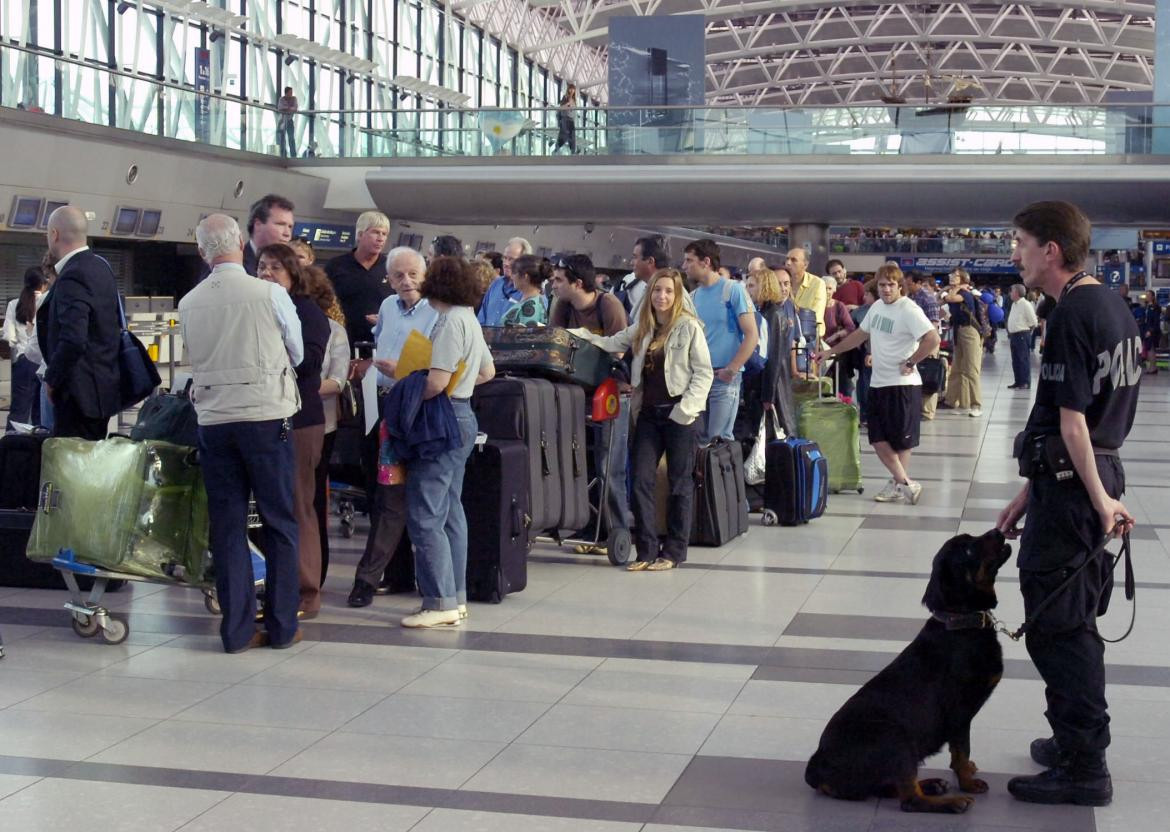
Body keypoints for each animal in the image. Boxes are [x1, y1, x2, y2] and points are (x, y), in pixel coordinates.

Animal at [804, 531, 1015, 809]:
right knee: (910, 799)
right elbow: (961, 751)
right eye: (968, 550)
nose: (999, 532)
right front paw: (968, 781)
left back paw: (934, 785)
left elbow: (960, 752)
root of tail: (817, 768)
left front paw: (967, 772)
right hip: (895, 737)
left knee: (891, 787)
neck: (960, 622)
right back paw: (952, 801)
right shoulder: (959, 713)